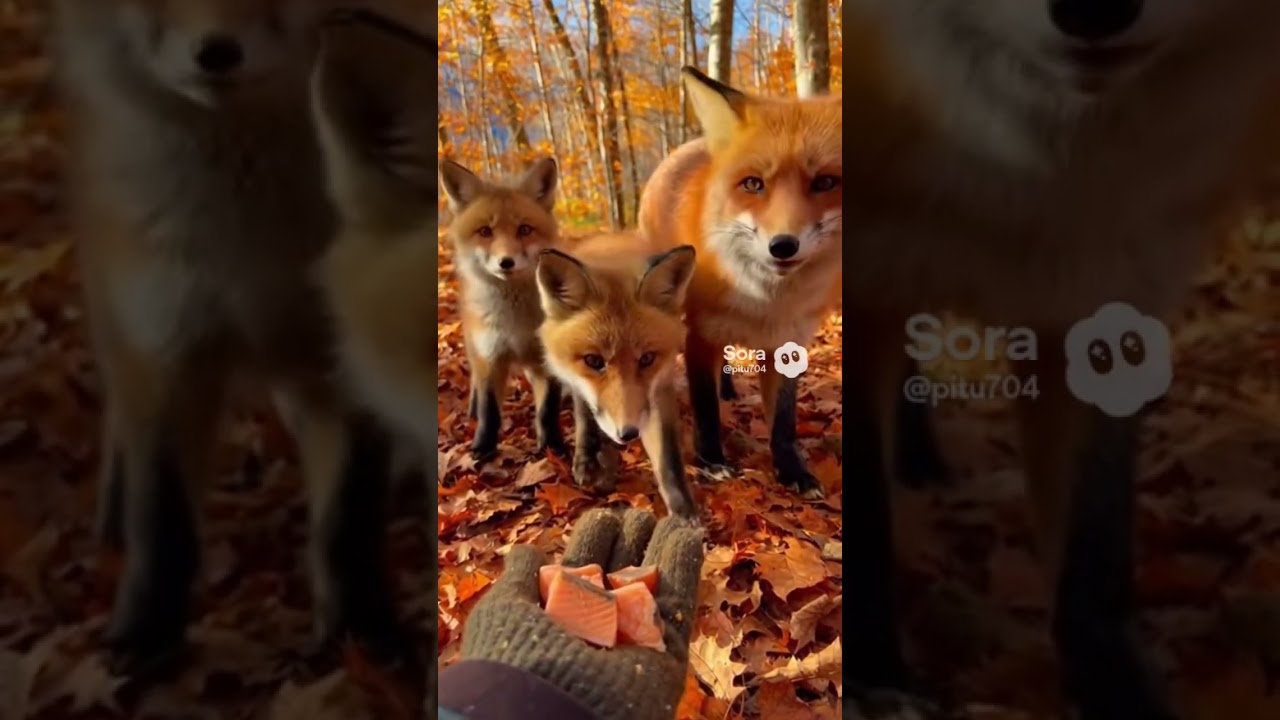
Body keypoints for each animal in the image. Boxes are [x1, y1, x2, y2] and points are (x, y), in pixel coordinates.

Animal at [51, 0, 409, 678]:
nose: (216, 53)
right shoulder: (164, 349)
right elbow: (162, 521)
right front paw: (143, 635)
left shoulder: (342, 360)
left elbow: (345, 524)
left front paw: (358, 633)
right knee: (119, 428)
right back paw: (109, 524)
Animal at [437, 158, 569, 462]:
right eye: (485, 232)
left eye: (524, 229)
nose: (505, 262)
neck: (515, 323)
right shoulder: (490, 357)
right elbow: (490, 412)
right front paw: (483, 447)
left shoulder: (545, 359)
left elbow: (547, 411)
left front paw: (552, 446)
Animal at [535, 234, 700, 520]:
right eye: (593, 361)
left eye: (647, 359)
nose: (628, 433)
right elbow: (585, 417)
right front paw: (587, 458)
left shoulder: (658, 390)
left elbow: (667, 459)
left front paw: (682, 513)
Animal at [637, 67, 843, 500]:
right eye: (752, 184)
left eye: (825, 183)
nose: (782, 245)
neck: (764, 302)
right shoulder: (699, 333)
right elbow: (704, 407)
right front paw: (711, 460)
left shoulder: (788, 343)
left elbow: (783, 423)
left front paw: (792, 471)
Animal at [840, 1, 1280, 718]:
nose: (1093, 12)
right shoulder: (858, 278)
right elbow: (862, 516)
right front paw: (870, 676)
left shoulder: (1108, 288)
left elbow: (1093, 551)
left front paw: (1120, 694)